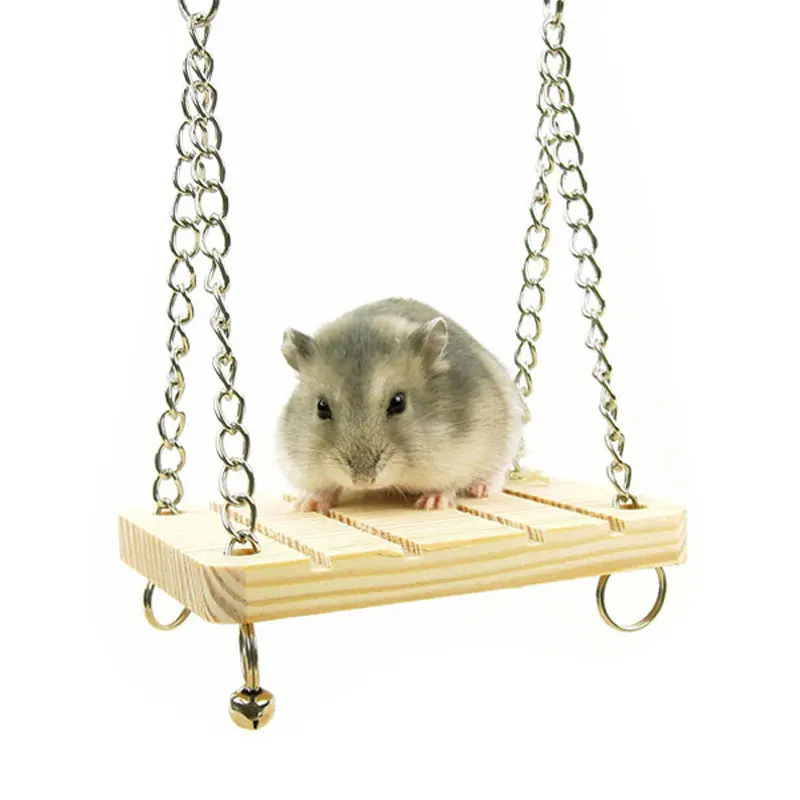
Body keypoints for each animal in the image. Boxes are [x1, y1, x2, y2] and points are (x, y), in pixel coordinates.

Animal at [278, 298, 523, 512]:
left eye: (398, 402)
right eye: (321, 406)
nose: (363, 480)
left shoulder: (463, 454)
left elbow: (448, 484)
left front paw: (431, 504)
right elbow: (323, 488)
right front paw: (306, 505)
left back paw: (480, 490)